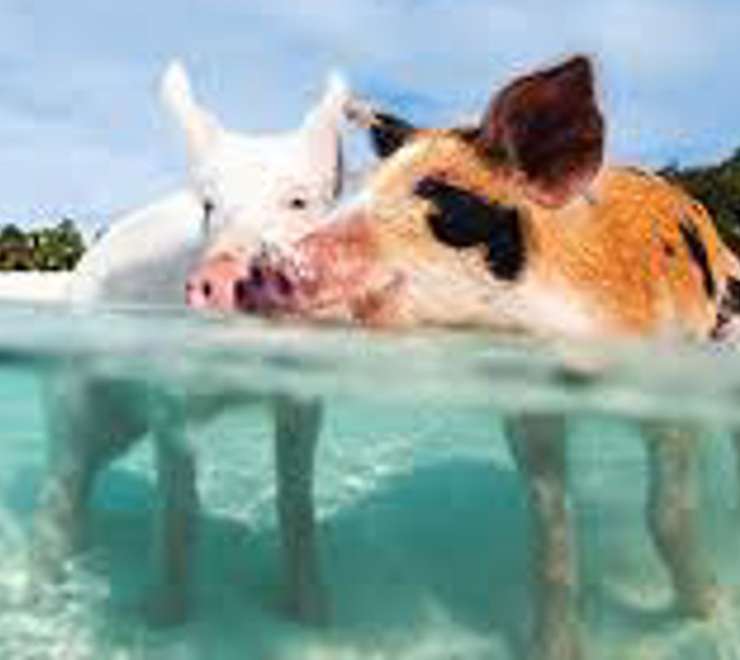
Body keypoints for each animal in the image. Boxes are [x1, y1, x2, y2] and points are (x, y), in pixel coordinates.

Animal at [33, 60, 350, 626]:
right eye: (209, 205)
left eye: (299, 200)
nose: (220, 274)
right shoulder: (170, 400)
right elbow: (181, 505)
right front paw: (164, 618)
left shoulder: (303, 396)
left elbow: (296, 500)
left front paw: (314, 615)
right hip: (74, 388)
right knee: (61, 483)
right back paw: (40, 598)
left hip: (119, 428)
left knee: (85, 476)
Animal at [196, 56, 740, 659]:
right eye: (364, 189)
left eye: (440, 195)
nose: (254, 269)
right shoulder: (529, 411)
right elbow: (551, 533)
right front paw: (555, 648)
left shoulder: (669, 391)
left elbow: (666, 512)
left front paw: (705, 611)